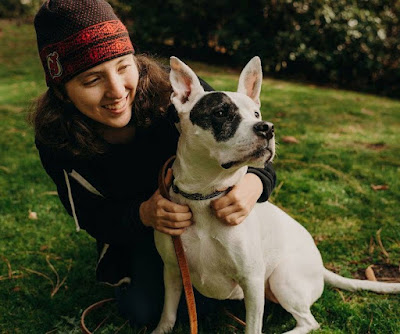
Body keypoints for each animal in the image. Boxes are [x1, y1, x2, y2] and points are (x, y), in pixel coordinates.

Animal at [151, 57, 400, 334]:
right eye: (221, 113)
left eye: (256, 114)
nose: (267, 128)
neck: (206, 195)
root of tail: (320, 265)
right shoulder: (173, 271)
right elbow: (168, 314)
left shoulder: (252, 280)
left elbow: (253, 327)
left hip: (283, 279)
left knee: (310, 322)